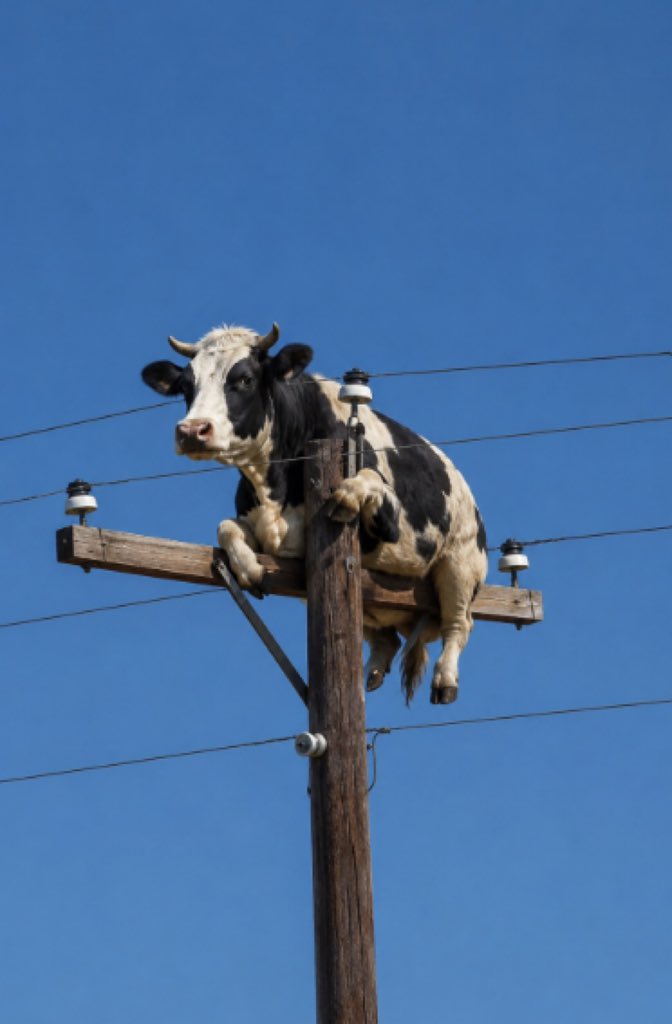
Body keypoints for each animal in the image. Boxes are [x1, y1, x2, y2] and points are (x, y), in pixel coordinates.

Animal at [141, 323, 488, 704]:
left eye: (244, 379)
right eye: (186, 386)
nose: (192, 430)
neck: (275, 484)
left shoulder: (388, 523)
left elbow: (366, 480)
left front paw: (347, 496)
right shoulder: (268, 531)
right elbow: (226, 527)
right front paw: (249, 569)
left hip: (461, 562)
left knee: (459, 623)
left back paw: (445, 680)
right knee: (385, 637)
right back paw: (369, 675)